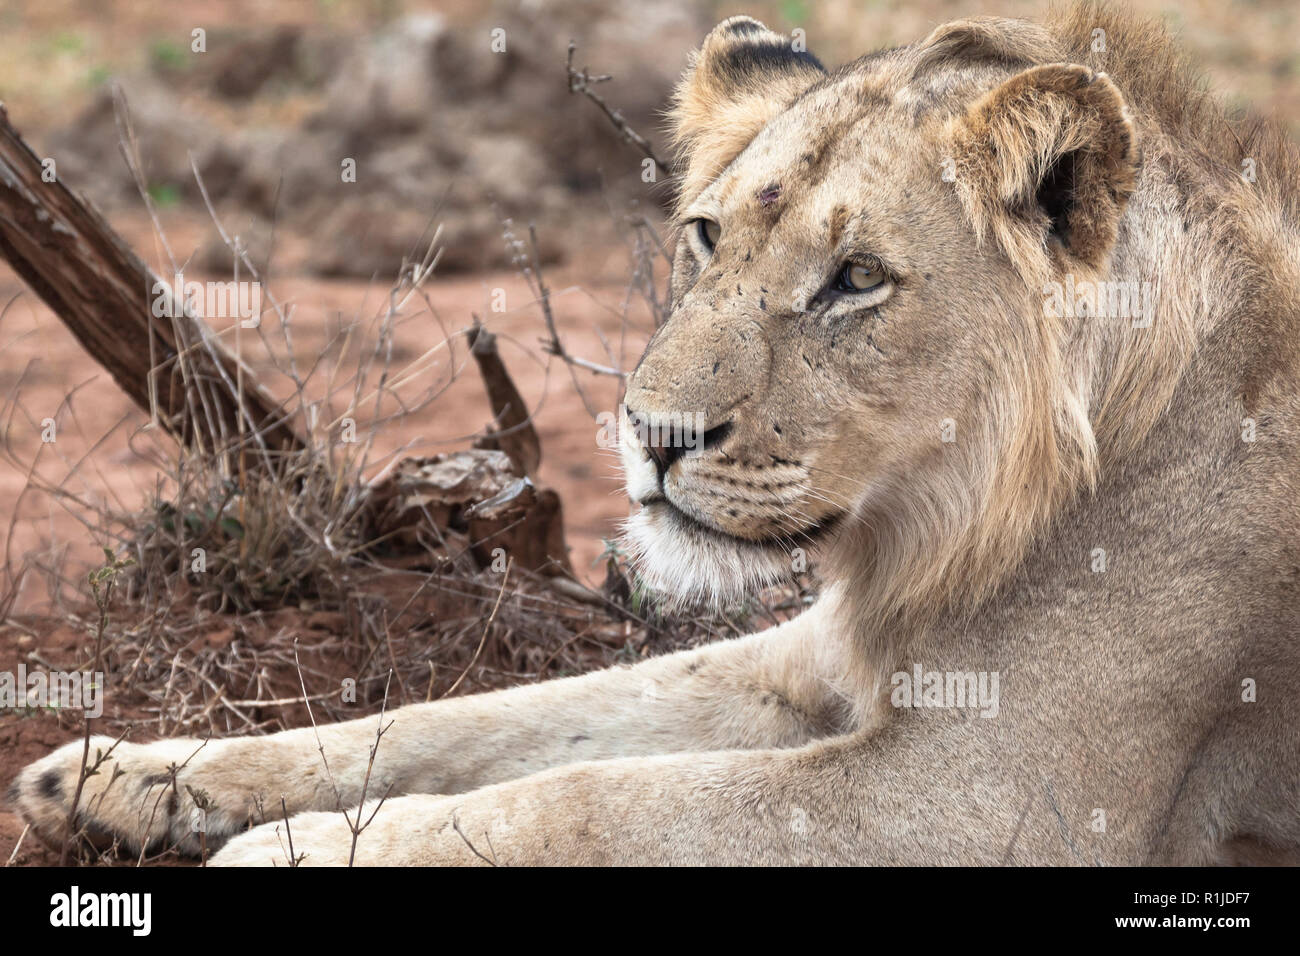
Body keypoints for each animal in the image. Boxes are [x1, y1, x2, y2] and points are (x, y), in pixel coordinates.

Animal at [10, 1, 1300, 868]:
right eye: (707, 234)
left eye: (856, 279)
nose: (651, 435)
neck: (938, 531)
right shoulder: (800, 665)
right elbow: (470, 720)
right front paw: (125, 771)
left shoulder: (990, 801)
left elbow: (588, 798)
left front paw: (306, 849)